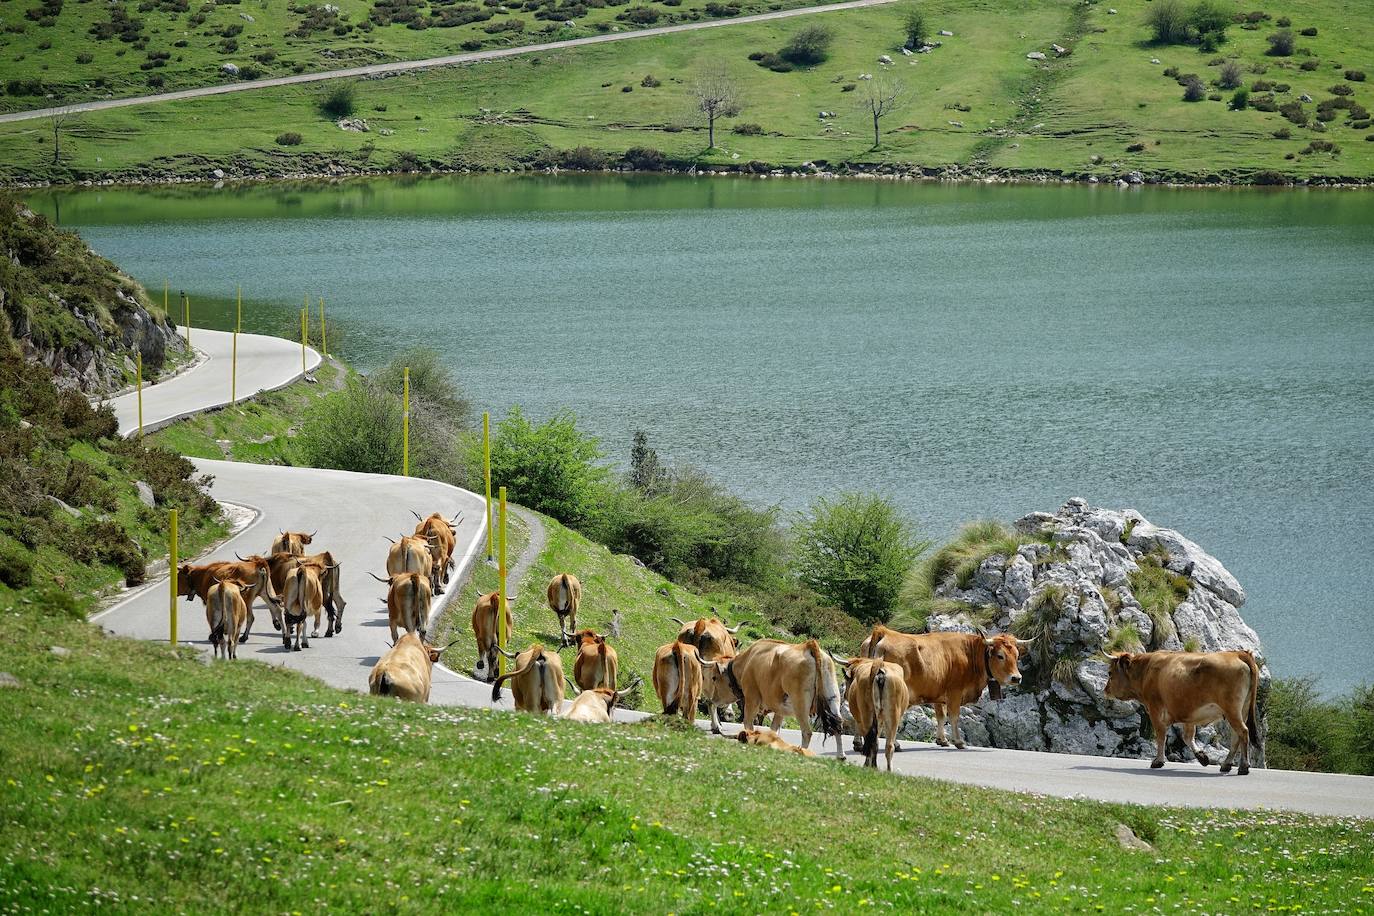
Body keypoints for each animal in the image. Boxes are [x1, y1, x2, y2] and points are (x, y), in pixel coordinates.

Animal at [862, 631, 1027, 752]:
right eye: (1000, 656)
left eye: (1017, 655)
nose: (1017, 678)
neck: (969, 654)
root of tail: (885, 632)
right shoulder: (955, 692)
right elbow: (954, 716)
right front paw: (959, 741)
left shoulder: (938, 694)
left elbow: (941, 716)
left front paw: (942, 740)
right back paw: (894, 744)